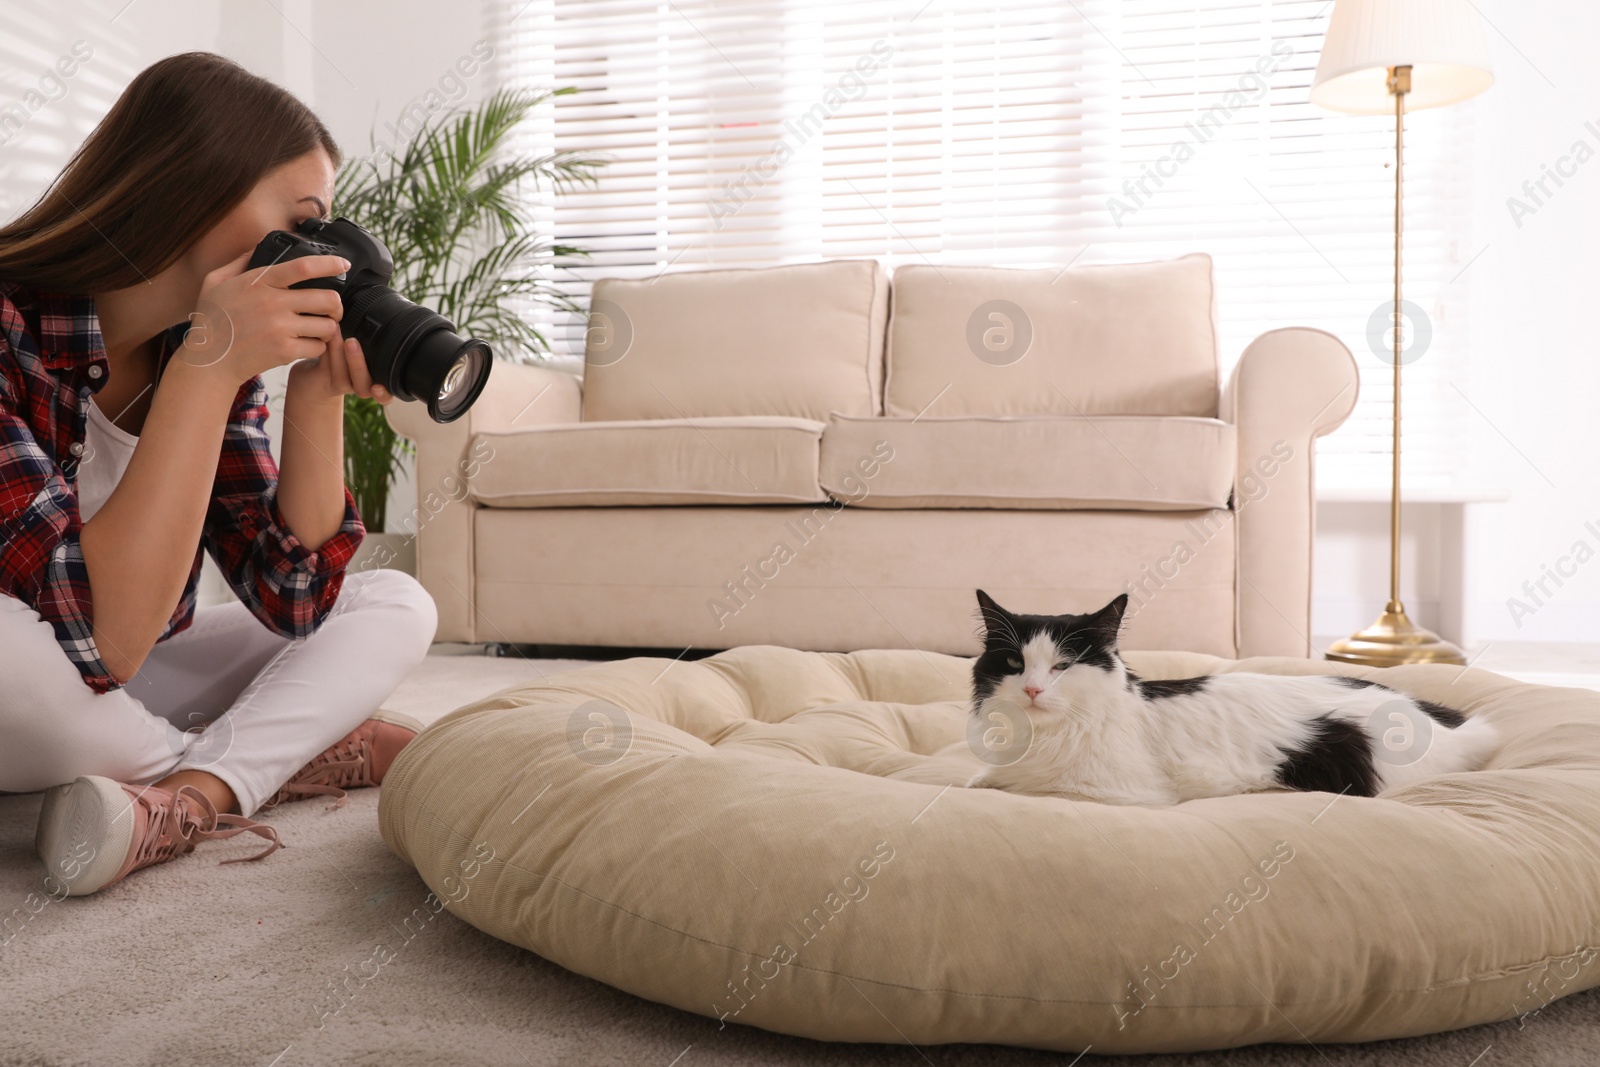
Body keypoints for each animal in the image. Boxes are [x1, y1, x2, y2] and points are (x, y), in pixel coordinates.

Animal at [960, 588, 1497, 806]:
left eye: (1063, 666)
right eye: (1014, 664)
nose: (1032, 689)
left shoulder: (1114, 792)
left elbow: (1017, 786)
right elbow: (984, 778)